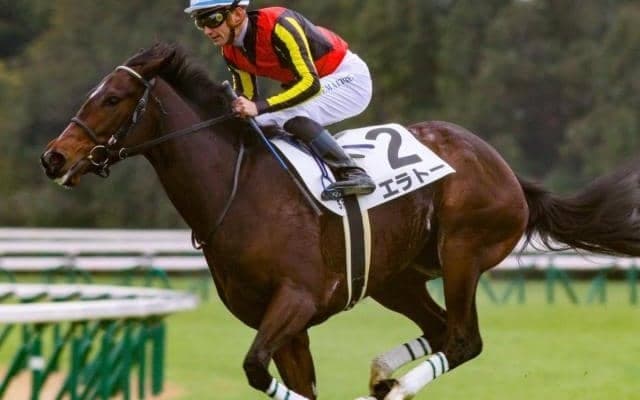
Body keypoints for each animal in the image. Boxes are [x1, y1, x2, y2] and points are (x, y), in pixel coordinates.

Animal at [40, 43, 640, 400]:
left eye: (112, 99)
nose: (54, 157)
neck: (240, 191)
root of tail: (508, 172)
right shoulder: (286, 325)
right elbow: (285, 380)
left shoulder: (296, 301)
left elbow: (255, 369)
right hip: (395, 276)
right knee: (439, 329)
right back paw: (381, 376)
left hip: (464, 253)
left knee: (464, 340)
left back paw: (394, 384)